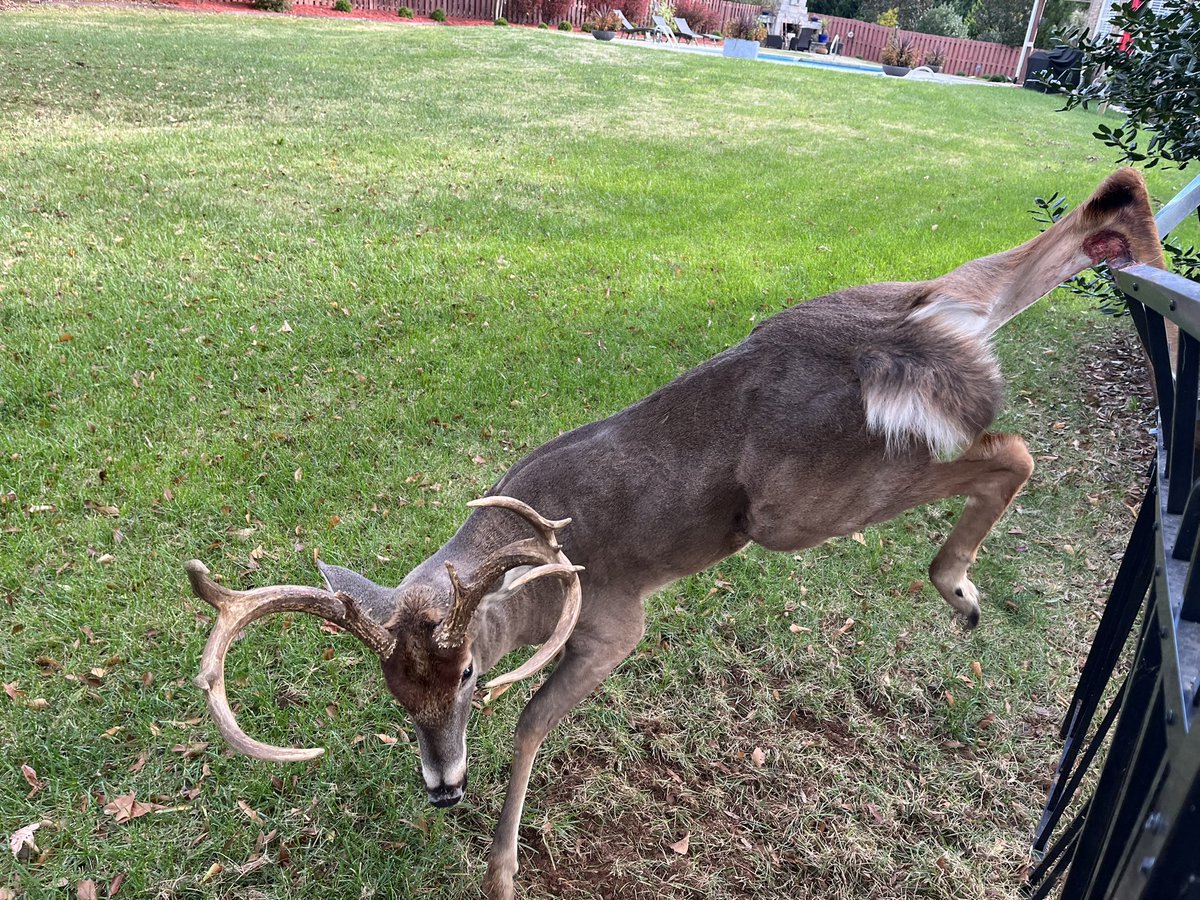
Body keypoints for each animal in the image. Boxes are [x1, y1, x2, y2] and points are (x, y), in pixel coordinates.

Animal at [184, 169, 1165, 900]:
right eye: (394, 689)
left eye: (466, 673)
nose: (443, 787)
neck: (521, 572)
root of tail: (898, 336)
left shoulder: (614, 619)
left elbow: (529, 726)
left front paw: (502, 873)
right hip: (927, 308)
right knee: (1017, 272)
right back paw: (1129, 236)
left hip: (798, 505)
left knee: (1011, 446)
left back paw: (958, 586)